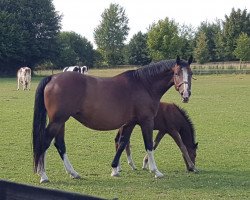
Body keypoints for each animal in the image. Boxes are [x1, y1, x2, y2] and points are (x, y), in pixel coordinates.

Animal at [32, 55, 193, 183]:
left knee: (59, 144)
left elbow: (122, 143)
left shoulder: (130, 123)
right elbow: (149, 145)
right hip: (57, 121)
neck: (144, 85)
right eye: (177, 73)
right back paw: (43, 175)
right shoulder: (146, 121)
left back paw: (73, 173)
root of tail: (53, 77)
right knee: (44, 142)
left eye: (190, 73)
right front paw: (156, 171)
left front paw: (115, 169)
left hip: (61, 122)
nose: (186, 95)